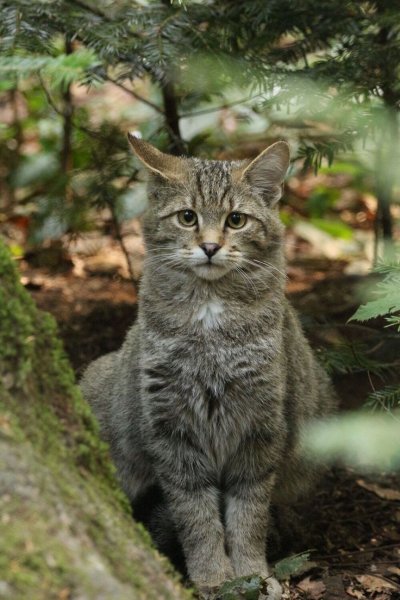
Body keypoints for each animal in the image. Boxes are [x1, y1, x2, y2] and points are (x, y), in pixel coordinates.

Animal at [80, 135, 337, 600]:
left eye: (236, 220)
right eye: (187, 217)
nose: (211, 246)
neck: (211, 318)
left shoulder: (262, 427)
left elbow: (248, 515)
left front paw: (252, 572)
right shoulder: (171, 429)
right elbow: (196, 516)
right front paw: (212, 576)